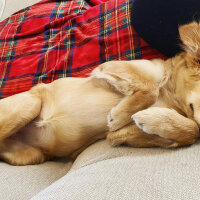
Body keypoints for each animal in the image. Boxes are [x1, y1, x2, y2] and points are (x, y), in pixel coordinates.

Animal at [0, 21, 200, 166]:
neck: (170, 94)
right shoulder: (110, 67)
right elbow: (151, 88)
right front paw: (118, 117)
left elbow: (192, 131)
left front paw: (152, 120)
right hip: (30, 103)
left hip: (32, 154)